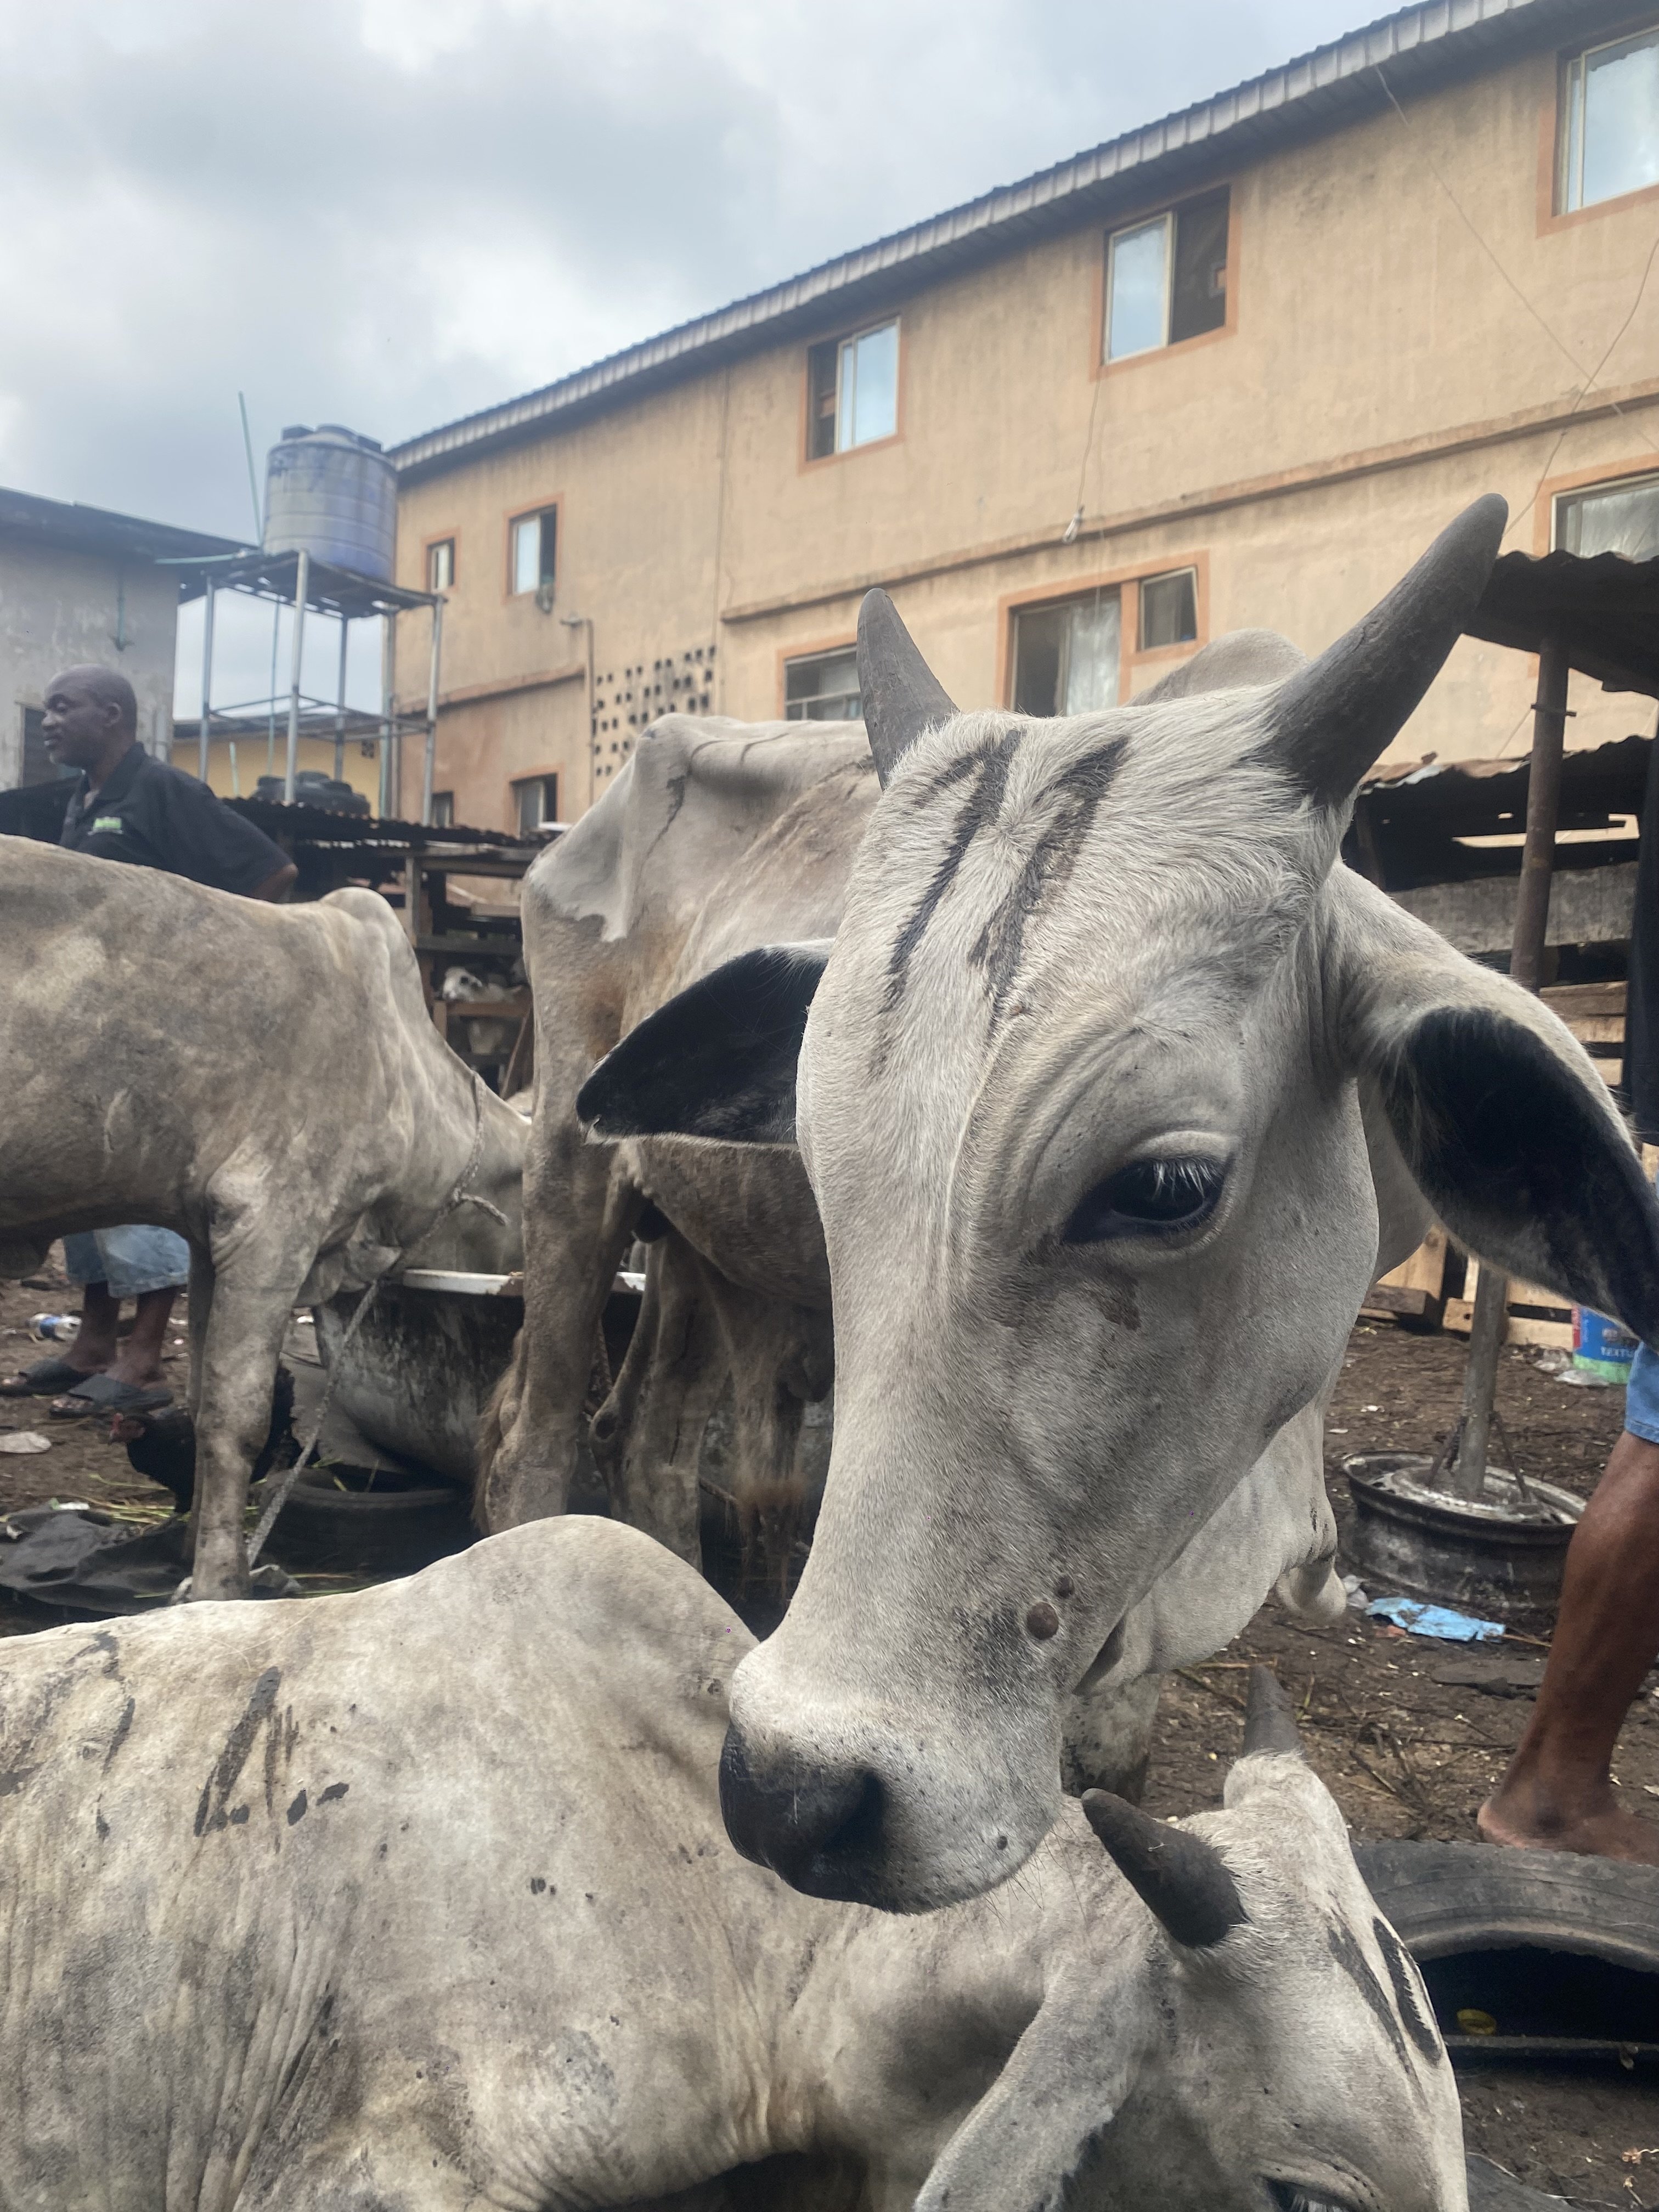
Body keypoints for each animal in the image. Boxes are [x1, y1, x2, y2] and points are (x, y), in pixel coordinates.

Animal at [0, 843, 526, 1603]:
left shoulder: (206, 1235)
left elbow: (198, 1402)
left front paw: (192, 1556)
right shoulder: (273, 1224)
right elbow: (236, 1417)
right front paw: (222, 1585)